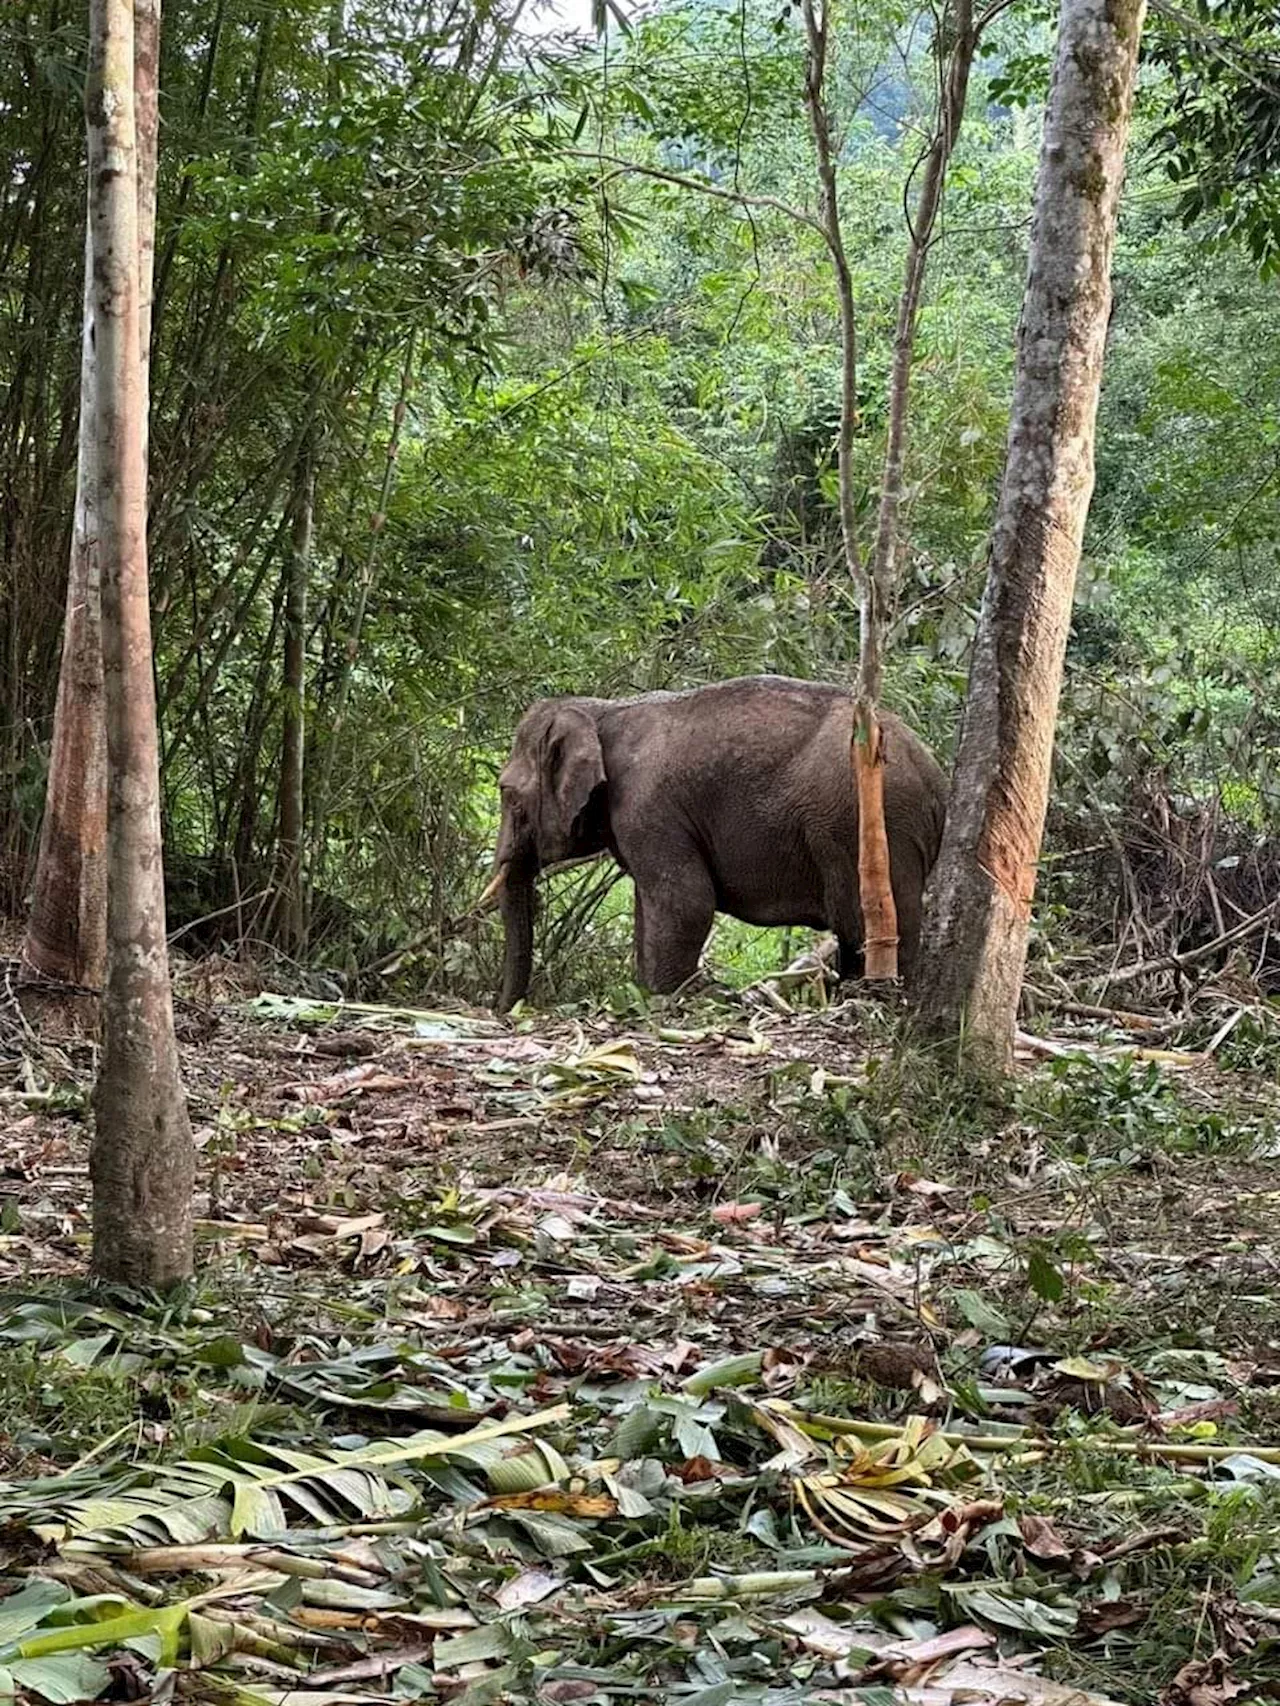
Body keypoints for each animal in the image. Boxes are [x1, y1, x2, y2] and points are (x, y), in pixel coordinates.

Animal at [488, 672, 955, 1009]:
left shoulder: (647, 806)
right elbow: (649, 906)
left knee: (863, 923)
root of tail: (935, 778)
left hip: (866, 824)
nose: (506, 1010)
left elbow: (686, 901)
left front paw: (673, 999)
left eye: (506, 792)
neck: (603, 710)